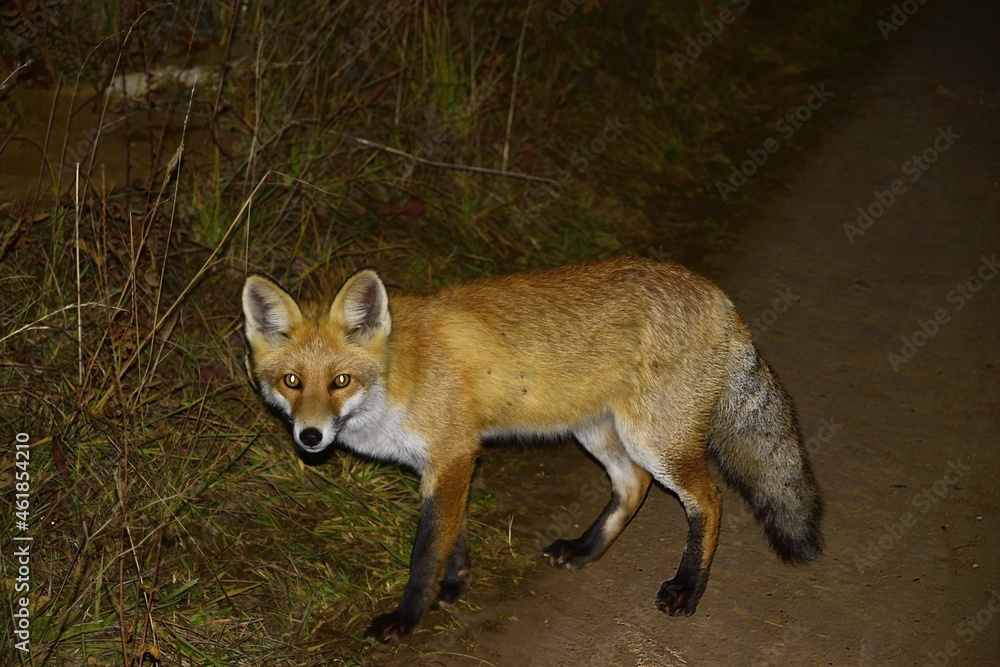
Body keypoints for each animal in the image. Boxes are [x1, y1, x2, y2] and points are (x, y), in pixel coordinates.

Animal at [241, 256, 823, 642]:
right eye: (293, 382)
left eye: (340, 381)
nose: (310, 437)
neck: (400, 374)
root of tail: (715, 294)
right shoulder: (448, 461)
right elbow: (453, 535)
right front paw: (454, 585)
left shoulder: (452, 455)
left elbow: (426, 549)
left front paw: (408, 617)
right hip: (597, 431)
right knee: (632, 486)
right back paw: (585, 550)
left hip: (654, 439)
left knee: (710, 501)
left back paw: (687, 588)